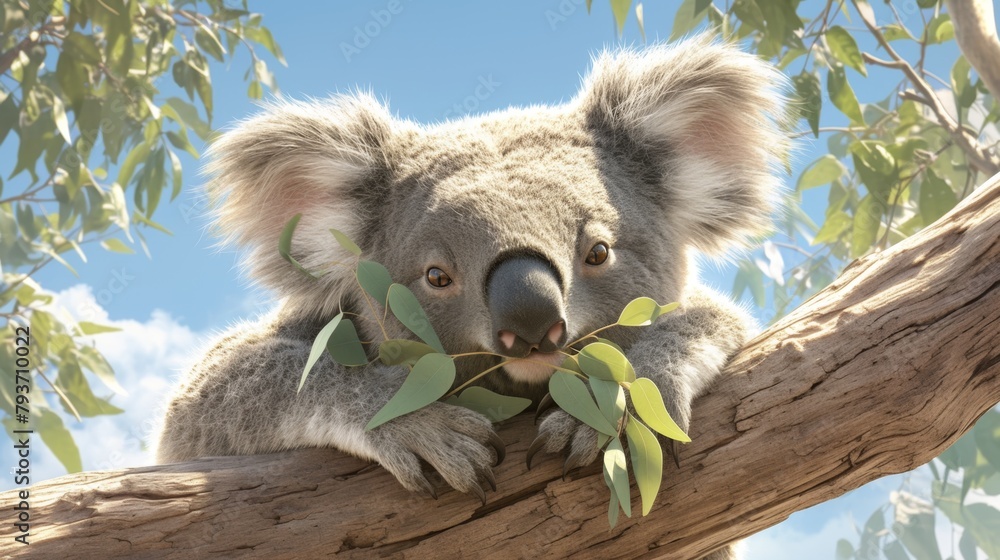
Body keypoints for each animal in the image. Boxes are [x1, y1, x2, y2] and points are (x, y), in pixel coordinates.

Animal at [156, 35, 788, 559]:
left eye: (599, 252)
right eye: (437, 276)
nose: (532, 326)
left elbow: (706, 317)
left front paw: (607, 402)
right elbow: (214, 400)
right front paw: (423, 423)